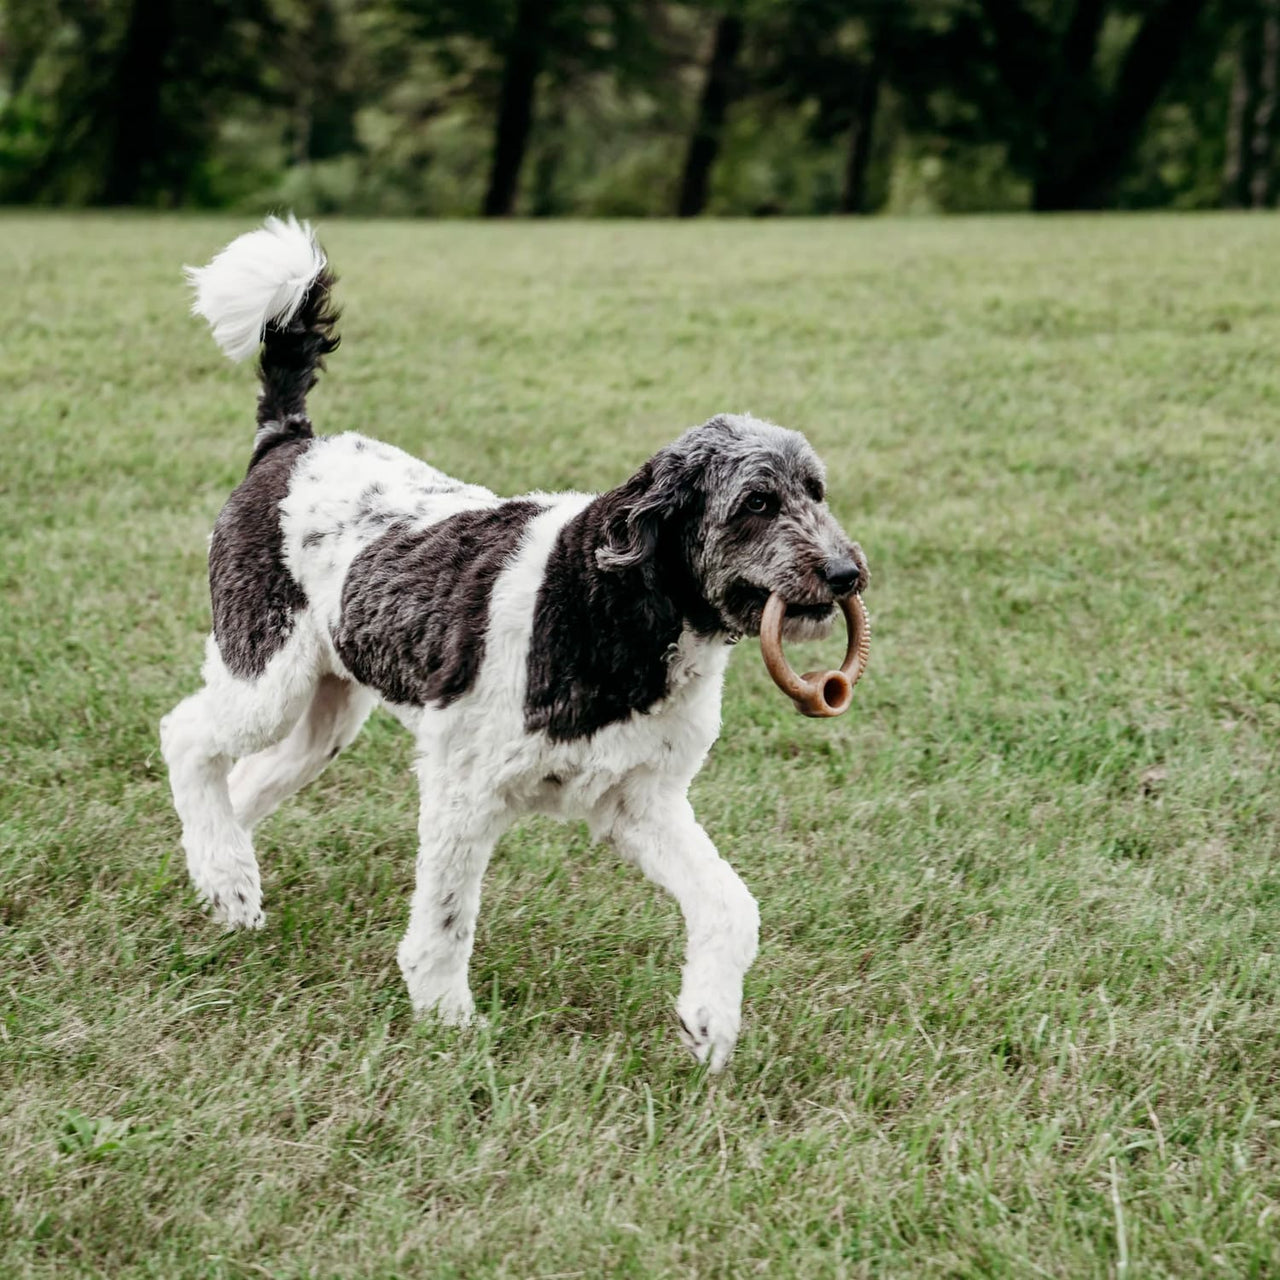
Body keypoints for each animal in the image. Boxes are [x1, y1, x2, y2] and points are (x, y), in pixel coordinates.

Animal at [154, 217, 865, 1070]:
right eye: (756, 502)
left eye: (816, 491)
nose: (849, 574)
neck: (615, 609)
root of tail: (291, 443)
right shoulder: (464, 787)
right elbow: (446, 922)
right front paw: (448, 1024)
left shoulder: (640, 800)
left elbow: (731, 905)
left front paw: (710, 1020)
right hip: (267, 674)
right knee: (187, 737)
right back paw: (228, 876)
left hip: (327, 713)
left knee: (245, 779)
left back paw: (224, 881)